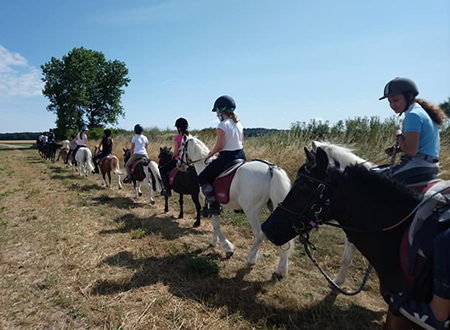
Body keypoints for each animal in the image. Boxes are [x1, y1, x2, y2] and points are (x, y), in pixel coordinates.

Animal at [179, 135, 296, 278]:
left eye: (181, 149)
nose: (179, 165)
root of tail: (271, 169)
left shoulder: (212, 204)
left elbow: (216, 226)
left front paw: (228, 249)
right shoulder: (215, 206)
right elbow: (215, 225)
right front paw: (213, 242)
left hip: (251, 211)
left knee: (259, 234)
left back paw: (251, 259)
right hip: (275, 209)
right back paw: (280, 269)